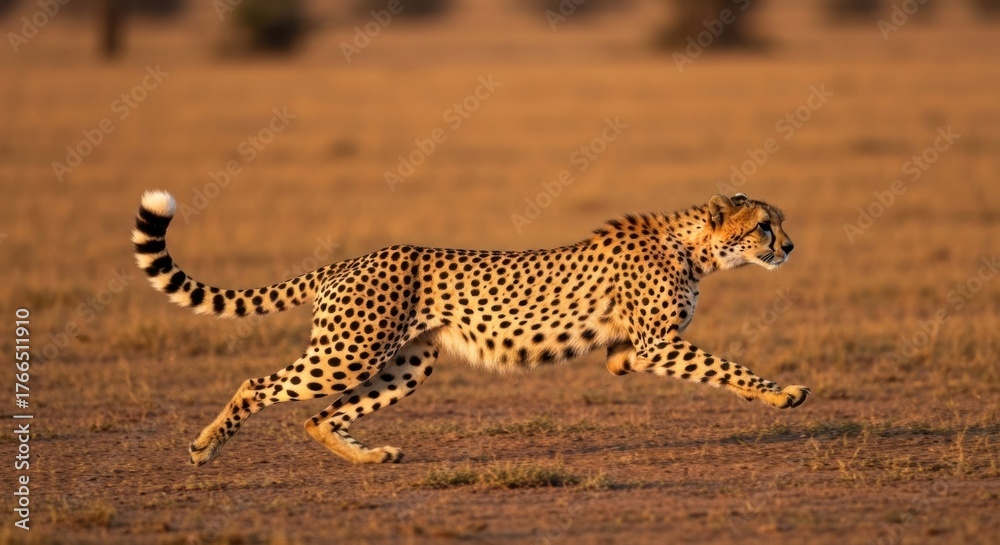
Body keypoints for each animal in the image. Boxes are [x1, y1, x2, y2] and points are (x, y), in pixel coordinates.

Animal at [131, 190, 809, 466]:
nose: (791, 247)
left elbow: (631, 360)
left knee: (318, 416)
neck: (695, 246)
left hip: (407, 362)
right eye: (765, 226)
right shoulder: (660, 343)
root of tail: (351, 259)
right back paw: (205, 446)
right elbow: (725, 366)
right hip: (349, 351)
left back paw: (370, 456)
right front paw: (781, 393)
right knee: (259, 385)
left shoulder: (640, 348)